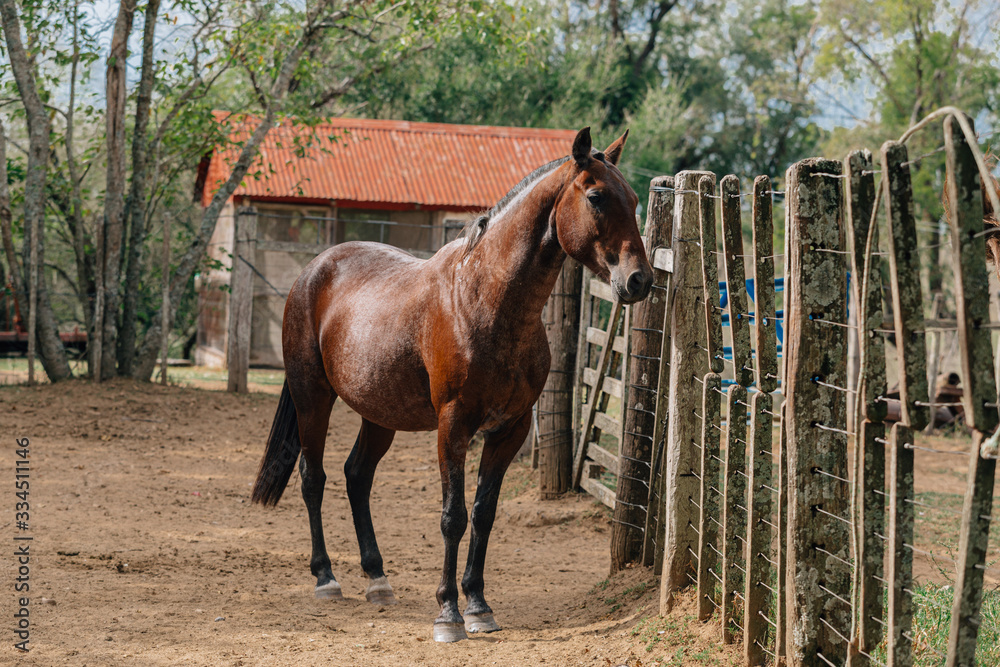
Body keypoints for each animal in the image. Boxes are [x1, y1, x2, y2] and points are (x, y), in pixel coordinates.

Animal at [250, 127, 653, 643]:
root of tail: (313, 270)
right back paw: (326, 577)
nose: (639, 280)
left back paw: (377, 578)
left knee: (357, 476)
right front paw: (448, 614)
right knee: (313, 477)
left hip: (380, 414)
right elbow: (453, 517)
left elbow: (483, 514)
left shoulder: (510, 430)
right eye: (597, 197)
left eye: (636, 199)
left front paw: (479, 606)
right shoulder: (453, 425)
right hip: (313, 399)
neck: (483, 300)